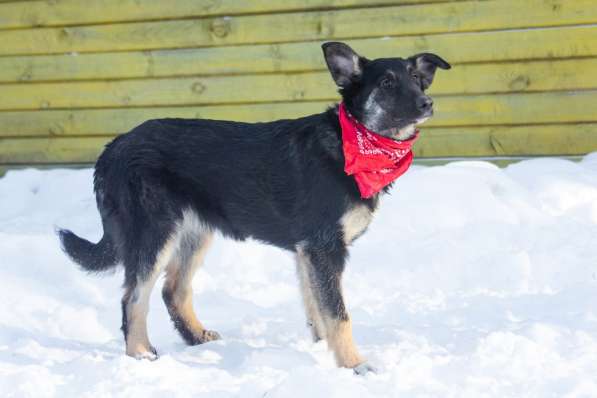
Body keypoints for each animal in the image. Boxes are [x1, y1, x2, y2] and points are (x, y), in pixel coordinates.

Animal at [58, 42, 450, 374]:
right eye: (386, 82)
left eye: (417, 80)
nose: (427, 103)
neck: (351, 142)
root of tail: (114, 146)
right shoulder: (324, 249)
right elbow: (338, 314)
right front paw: (354, 365)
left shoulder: (308, 253)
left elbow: (317, 311)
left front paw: (321, 353)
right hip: (154, 234)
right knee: (133, 298)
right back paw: (139, 353)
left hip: (194, 232)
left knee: (174, 290)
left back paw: (195, 338)